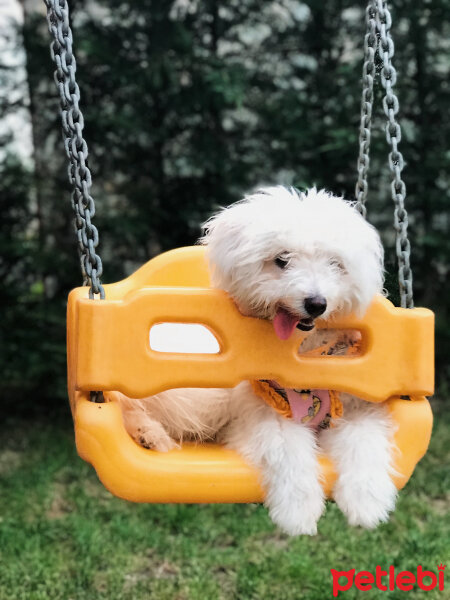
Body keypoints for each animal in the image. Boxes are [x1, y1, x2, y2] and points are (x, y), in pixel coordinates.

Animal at [117, 186, 398, 536]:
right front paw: (298, 511)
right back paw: (150, 434)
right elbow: (288, 452)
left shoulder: (358, 407)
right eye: (281, 260)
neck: (306, 353)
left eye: (335, 264)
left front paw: (367, 502)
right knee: (124, 401)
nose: (316, 303)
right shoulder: (264, 413)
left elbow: (365, 442)